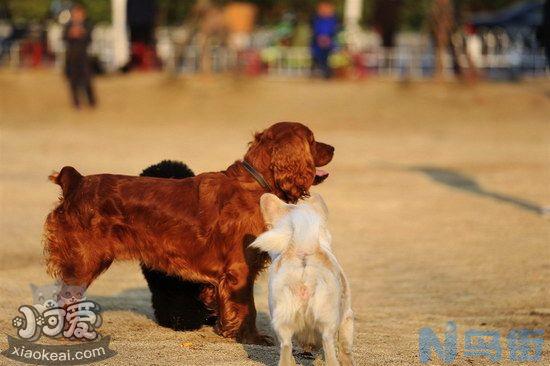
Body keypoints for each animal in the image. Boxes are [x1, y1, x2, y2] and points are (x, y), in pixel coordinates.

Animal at [252, 193, 356, 364]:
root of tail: (302, 248)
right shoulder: (347, 316)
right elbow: (345, 348)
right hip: (329, 321)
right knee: (328, 345)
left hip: (282, 321)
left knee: (286, 347)